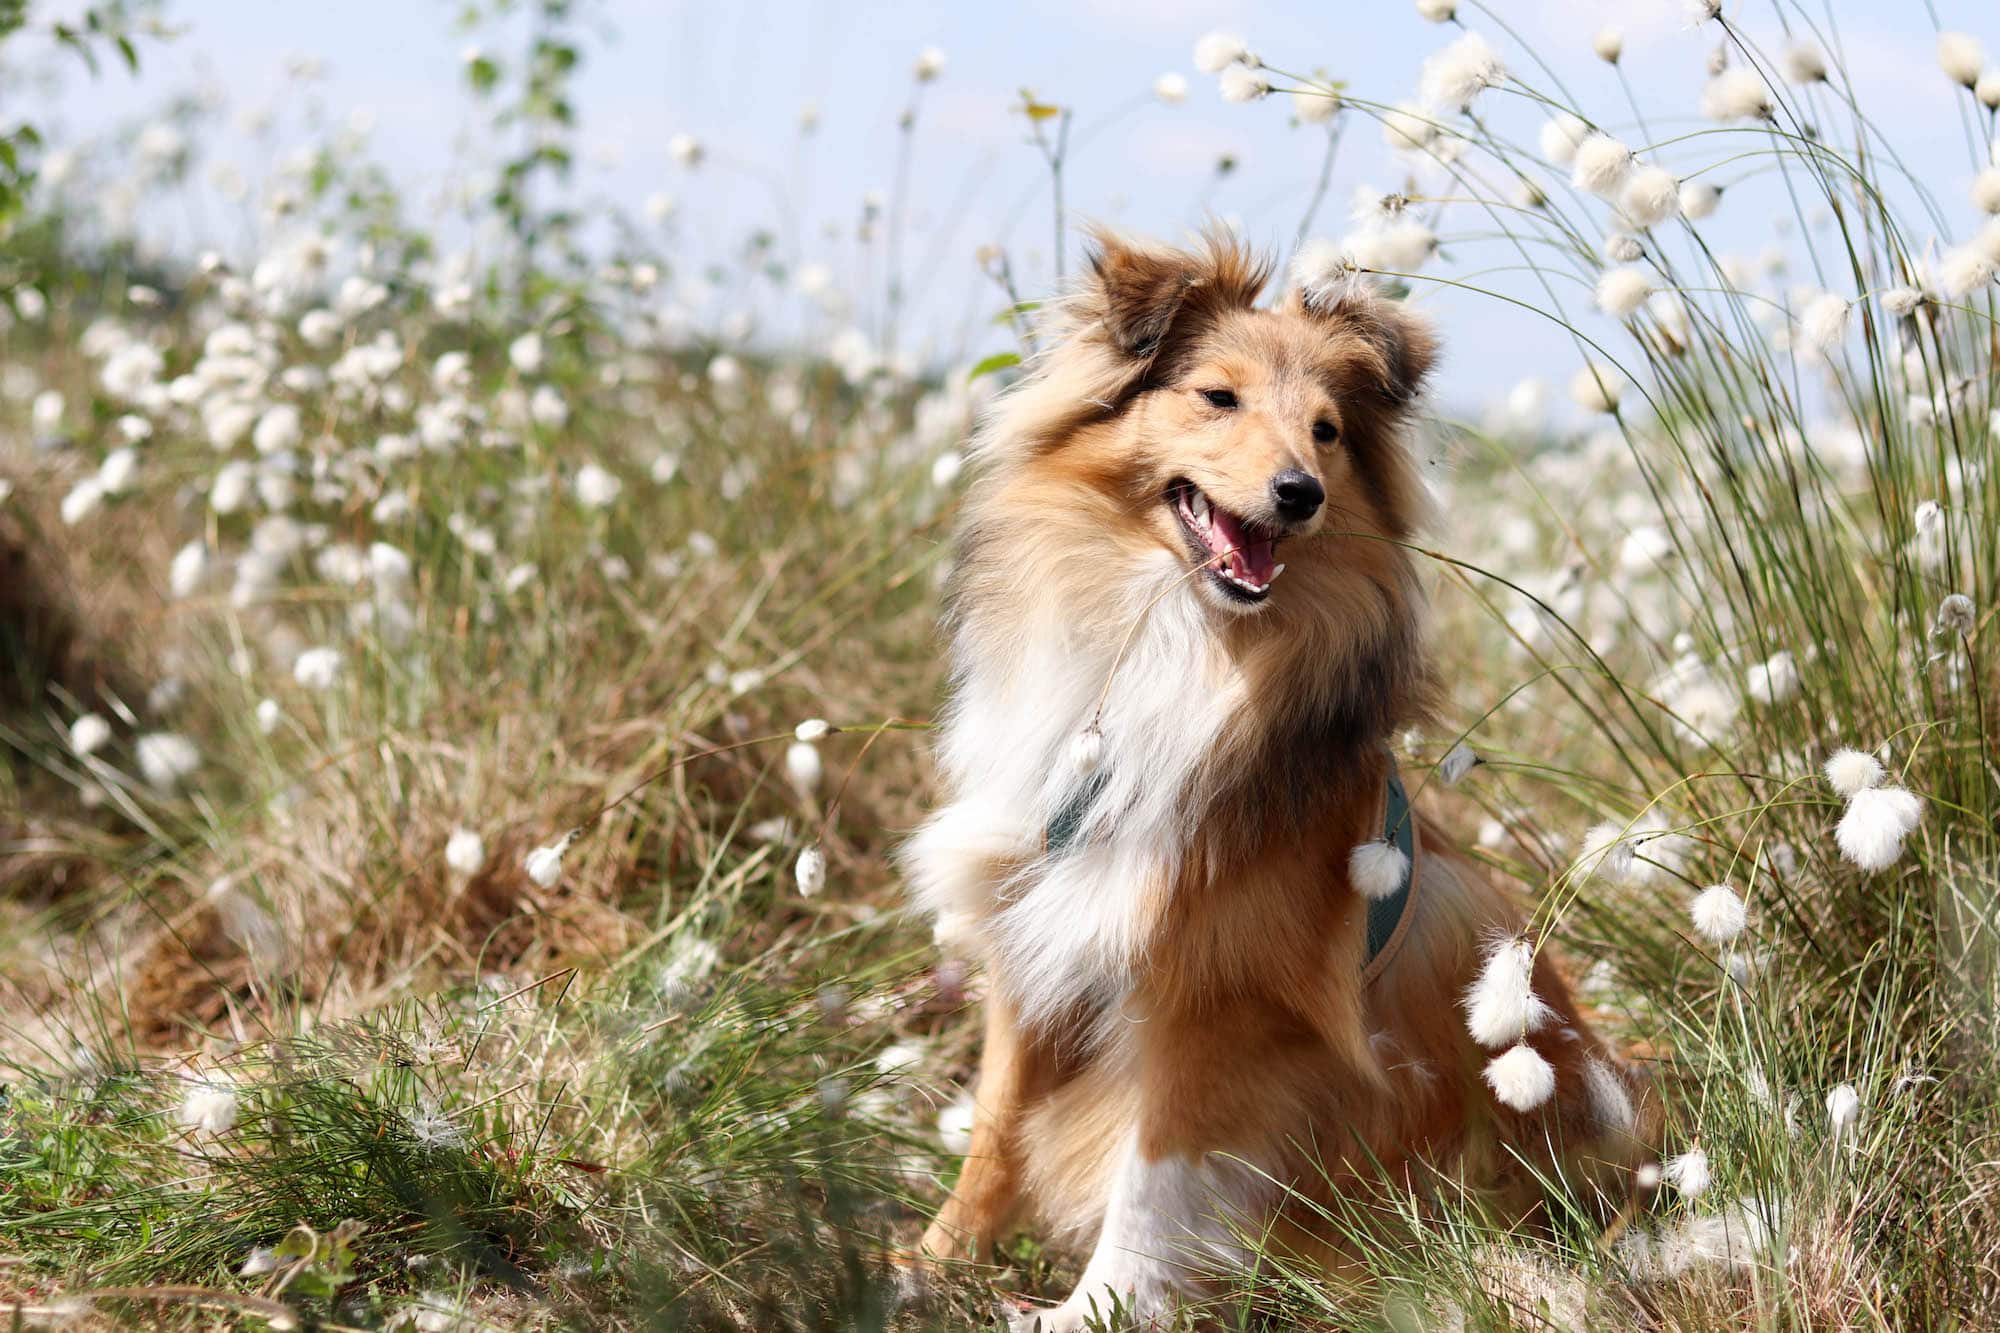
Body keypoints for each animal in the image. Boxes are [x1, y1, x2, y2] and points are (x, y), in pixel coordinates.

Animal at [904, 228, 1640, 1320]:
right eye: (1217, 397)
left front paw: (1089, 1312)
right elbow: (995, 1127)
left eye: (1327, 431)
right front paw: (926, 1265)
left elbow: (1150, 1176)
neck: (1173, 638)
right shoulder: (1038, 929)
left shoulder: (1215, 1001)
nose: (1301, 493)